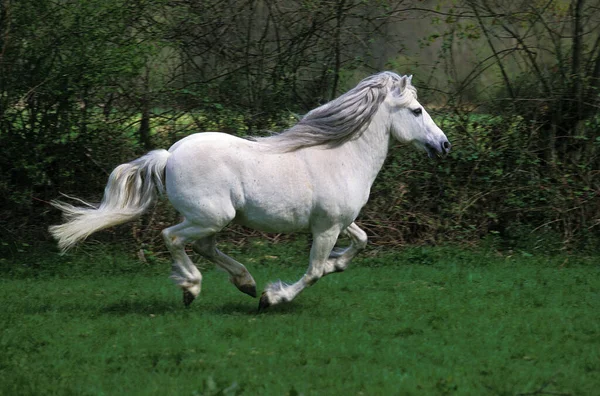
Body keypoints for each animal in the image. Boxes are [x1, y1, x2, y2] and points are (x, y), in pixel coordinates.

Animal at [49, 72, 448, 310]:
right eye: (416, 110)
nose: (443, 145)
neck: (342, 157)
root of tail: (169, 155)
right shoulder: (326, 228)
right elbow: (314, 271)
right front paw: (273, 298)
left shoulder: (340, 222)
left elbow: (360, 243)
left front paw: (335, 264)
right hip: (211, 216)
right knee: (173, 237)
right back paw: (193, 288)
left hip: (208, 219)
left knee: (203, 246)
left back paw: (244, 282)